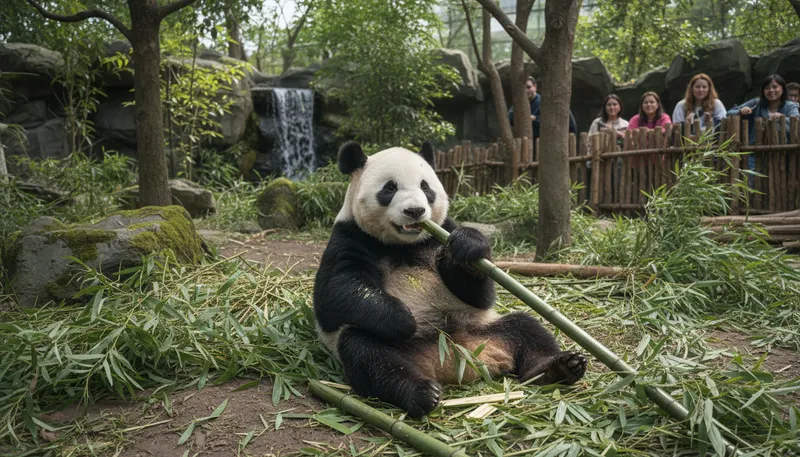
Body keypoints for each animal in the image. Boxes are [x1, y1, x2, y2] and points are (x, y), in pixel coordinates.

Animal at [313, 140, 586, 418]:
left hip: (485, 327)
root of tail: (452, 361)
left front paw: (468, 246)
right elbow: (336, 294)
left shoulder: (442, 232)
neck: (404, 245)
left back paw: (560, 367)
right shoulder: (350, 236)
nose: (415, 211)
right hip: (395, 348)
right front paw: (404, 319)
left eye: (425, 187)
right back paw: (421, 392)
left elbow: (480, 295)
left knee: (528, 329)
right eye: (390, 188)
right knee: (368, 354)